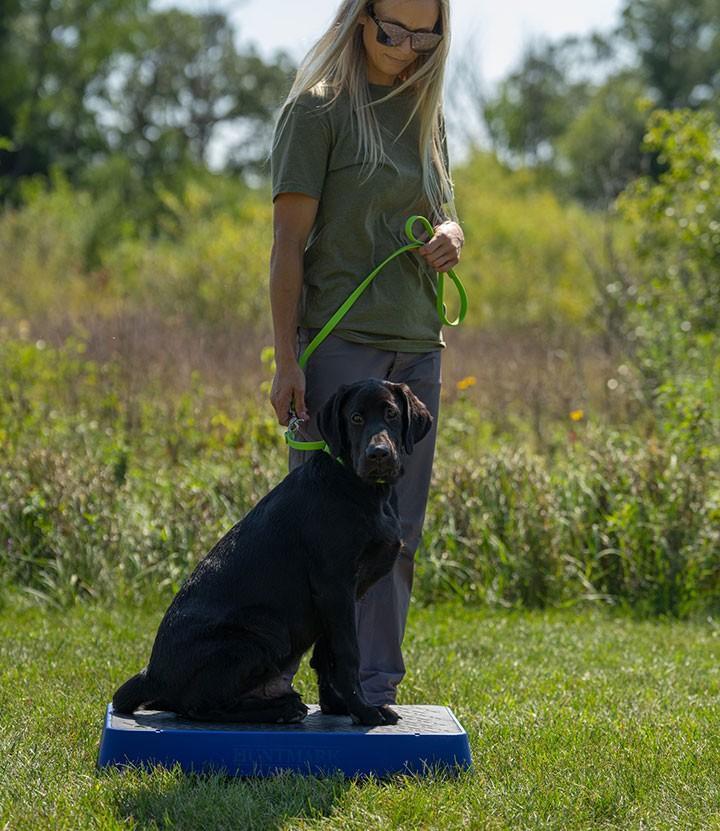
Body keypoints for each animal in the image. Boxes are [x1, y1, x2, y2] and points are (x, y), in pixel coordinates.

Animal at [109, 380, 430, 724]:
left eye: (392, 413)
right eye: (356, 418)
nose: (378, 454)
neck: (366, 491)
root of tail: (151, 674)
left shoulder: (339, 597)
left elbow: (326, 657)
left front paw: (338, 706)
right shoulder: (334, 585)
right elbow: (347, 654)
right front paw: (364, 711)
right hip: (261, 635)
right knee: (199, 707)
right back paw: (282, 708)